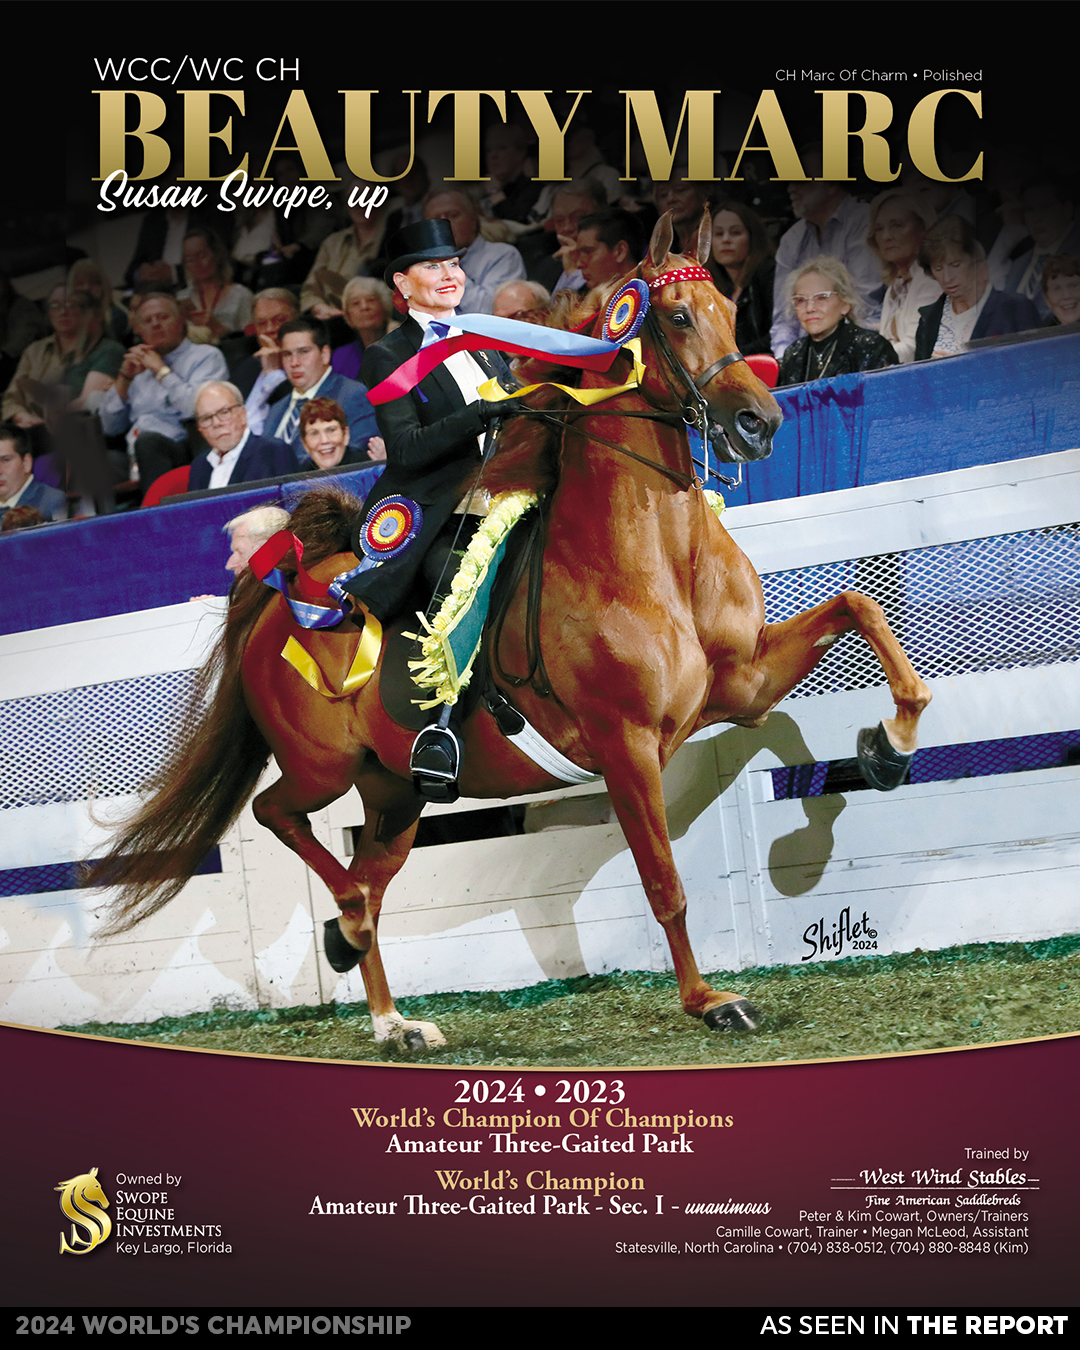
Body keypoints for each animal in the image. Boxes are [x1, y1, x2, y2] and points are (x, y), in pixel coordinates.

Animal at [89, 209, 930, 1051]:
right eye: (678, 317)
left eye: (730, 305)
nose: (759, 424)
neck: (661, 554)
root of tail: (281, 591)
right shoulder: (626, 744)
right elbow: (664, 881)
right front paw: (710, 1002)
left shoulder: (742, 683)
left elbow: (860, 608)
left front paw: (887, 747)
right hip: (323, 766)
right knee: (281, 818)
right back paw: (353, 938)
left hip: (395, 795)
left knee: (367, 873)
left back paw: (389, 1012)